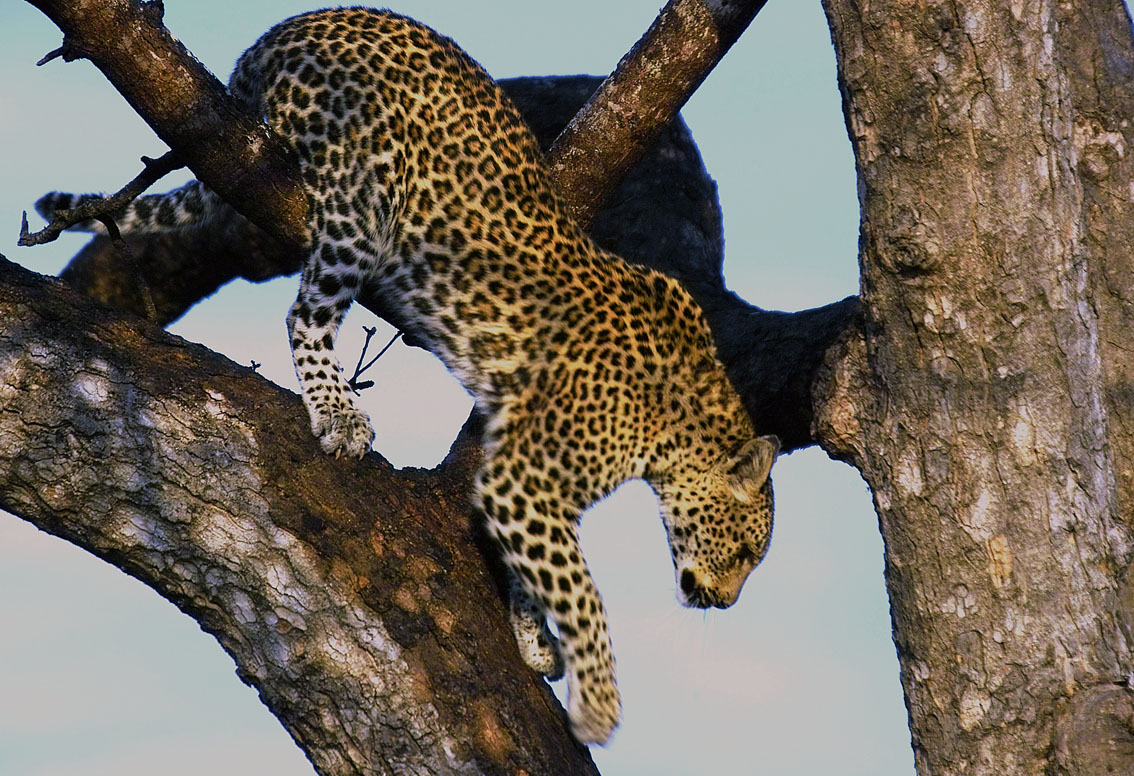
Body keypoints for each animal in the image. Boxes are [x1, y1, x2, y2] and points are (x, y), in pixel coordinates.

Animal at [35, 7, 780, 745]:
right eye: (747, 549)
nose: (722, 600)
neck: (678, 432)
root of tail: (293, 26)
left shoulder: (525, 482)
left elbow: (539, 571)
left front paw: (536, 638)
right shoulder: (527, 479)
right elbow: (581, 591)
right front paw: (599, 703)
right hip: (358, 205)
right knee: (306, 313)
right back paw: (338, 413)